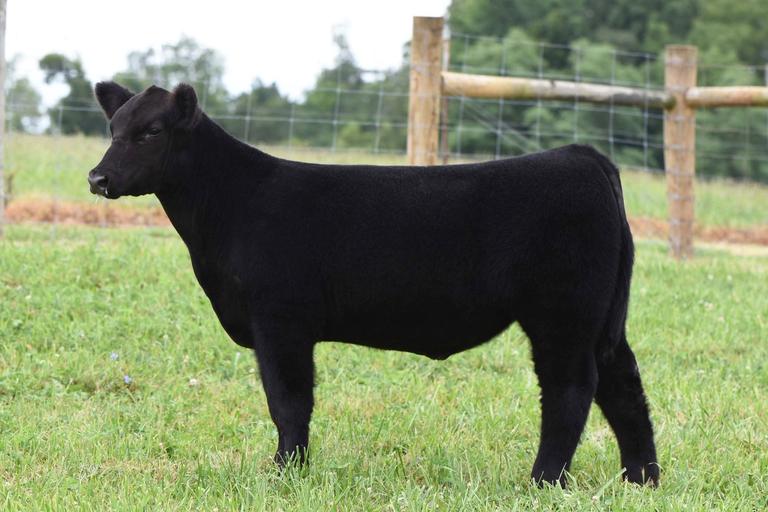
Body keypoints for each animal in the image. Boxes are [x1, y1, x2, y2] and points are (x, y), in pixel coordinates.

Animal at [88, 81, 658, 487]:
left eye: (152, 131)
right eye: (113, 128)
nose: (97, 178)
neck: (232, 204)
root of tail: (580, 155)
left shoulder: (280, 320)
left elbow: (288, 401)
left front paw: (285, 474)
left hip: (563, 314)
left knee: (570, 389)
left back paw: (544, 482)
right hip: (602, 319)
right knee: (623, 385)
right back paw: (641, 479)